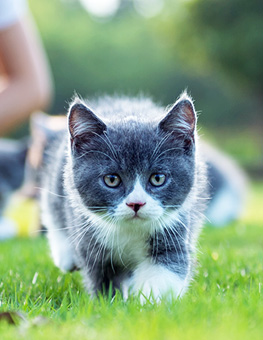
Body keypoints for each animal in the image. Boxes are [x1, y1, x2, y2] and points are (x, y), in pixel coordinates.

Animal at [41, 92, 207, 302]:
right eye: (112, 179)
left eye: (158, 178)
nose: (136, 203)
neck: (130, 231)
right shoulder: (91, 242)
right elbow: (101, 278)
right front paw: (108, 302)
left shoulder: (174, 227)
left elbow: (168, 266)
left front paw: (148, 302)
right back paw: (66, 256)